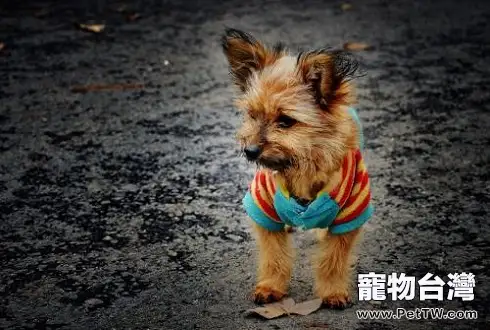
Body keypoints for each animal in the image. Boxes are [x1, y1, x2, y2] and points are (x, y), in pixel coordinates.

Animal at [220, 28, 374, 310]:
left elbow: (333, 259)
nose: (250, 151)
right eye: (252, 115)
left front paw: (333, 291)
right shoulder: (264, 210)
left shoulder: (351, 213)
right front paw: (271, 287)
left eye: (286, 121)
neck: (302, 165)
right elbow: (274, 256)